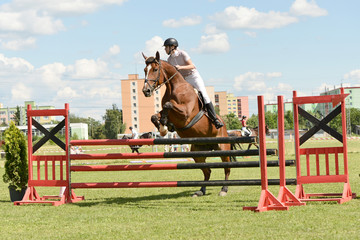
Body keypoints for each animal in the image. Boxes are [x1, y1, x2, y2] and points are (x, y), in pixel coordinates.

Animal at [141, 52, 231, 197]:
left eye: (155, 69)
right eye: (144, 70)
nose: (146, 91)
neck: (175, 88)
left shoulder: (185, 114)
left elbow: (168, 105)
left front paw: (164, 126)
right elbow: (155, 116)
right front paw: (163, 127)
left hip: (223, 148)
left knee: (226, 168)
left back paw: (224, 189)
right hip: (197, 152)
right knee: (207, 171)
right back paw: (200, 191)